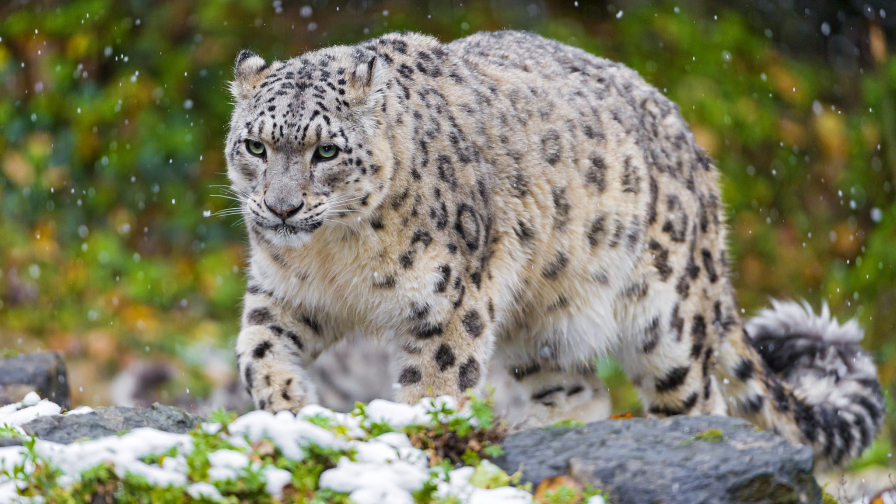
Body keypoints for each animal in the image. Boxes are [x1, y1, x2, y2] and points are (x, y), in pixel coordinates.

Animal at [224, 30, 884, 467]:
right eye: (255, 146)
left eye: (326, 151)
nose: (281, 208)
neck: (335, 256)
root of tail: (698, 158)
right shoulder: (283, 294)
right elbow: (257, 351)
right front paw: (290, 408)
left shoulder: (446, 306)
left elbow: (433, 388)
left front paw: (414, 442)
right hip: (542, 320)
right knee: (584, 390)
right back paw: (529, 428)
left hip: (669, 322)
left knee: (704, 399)